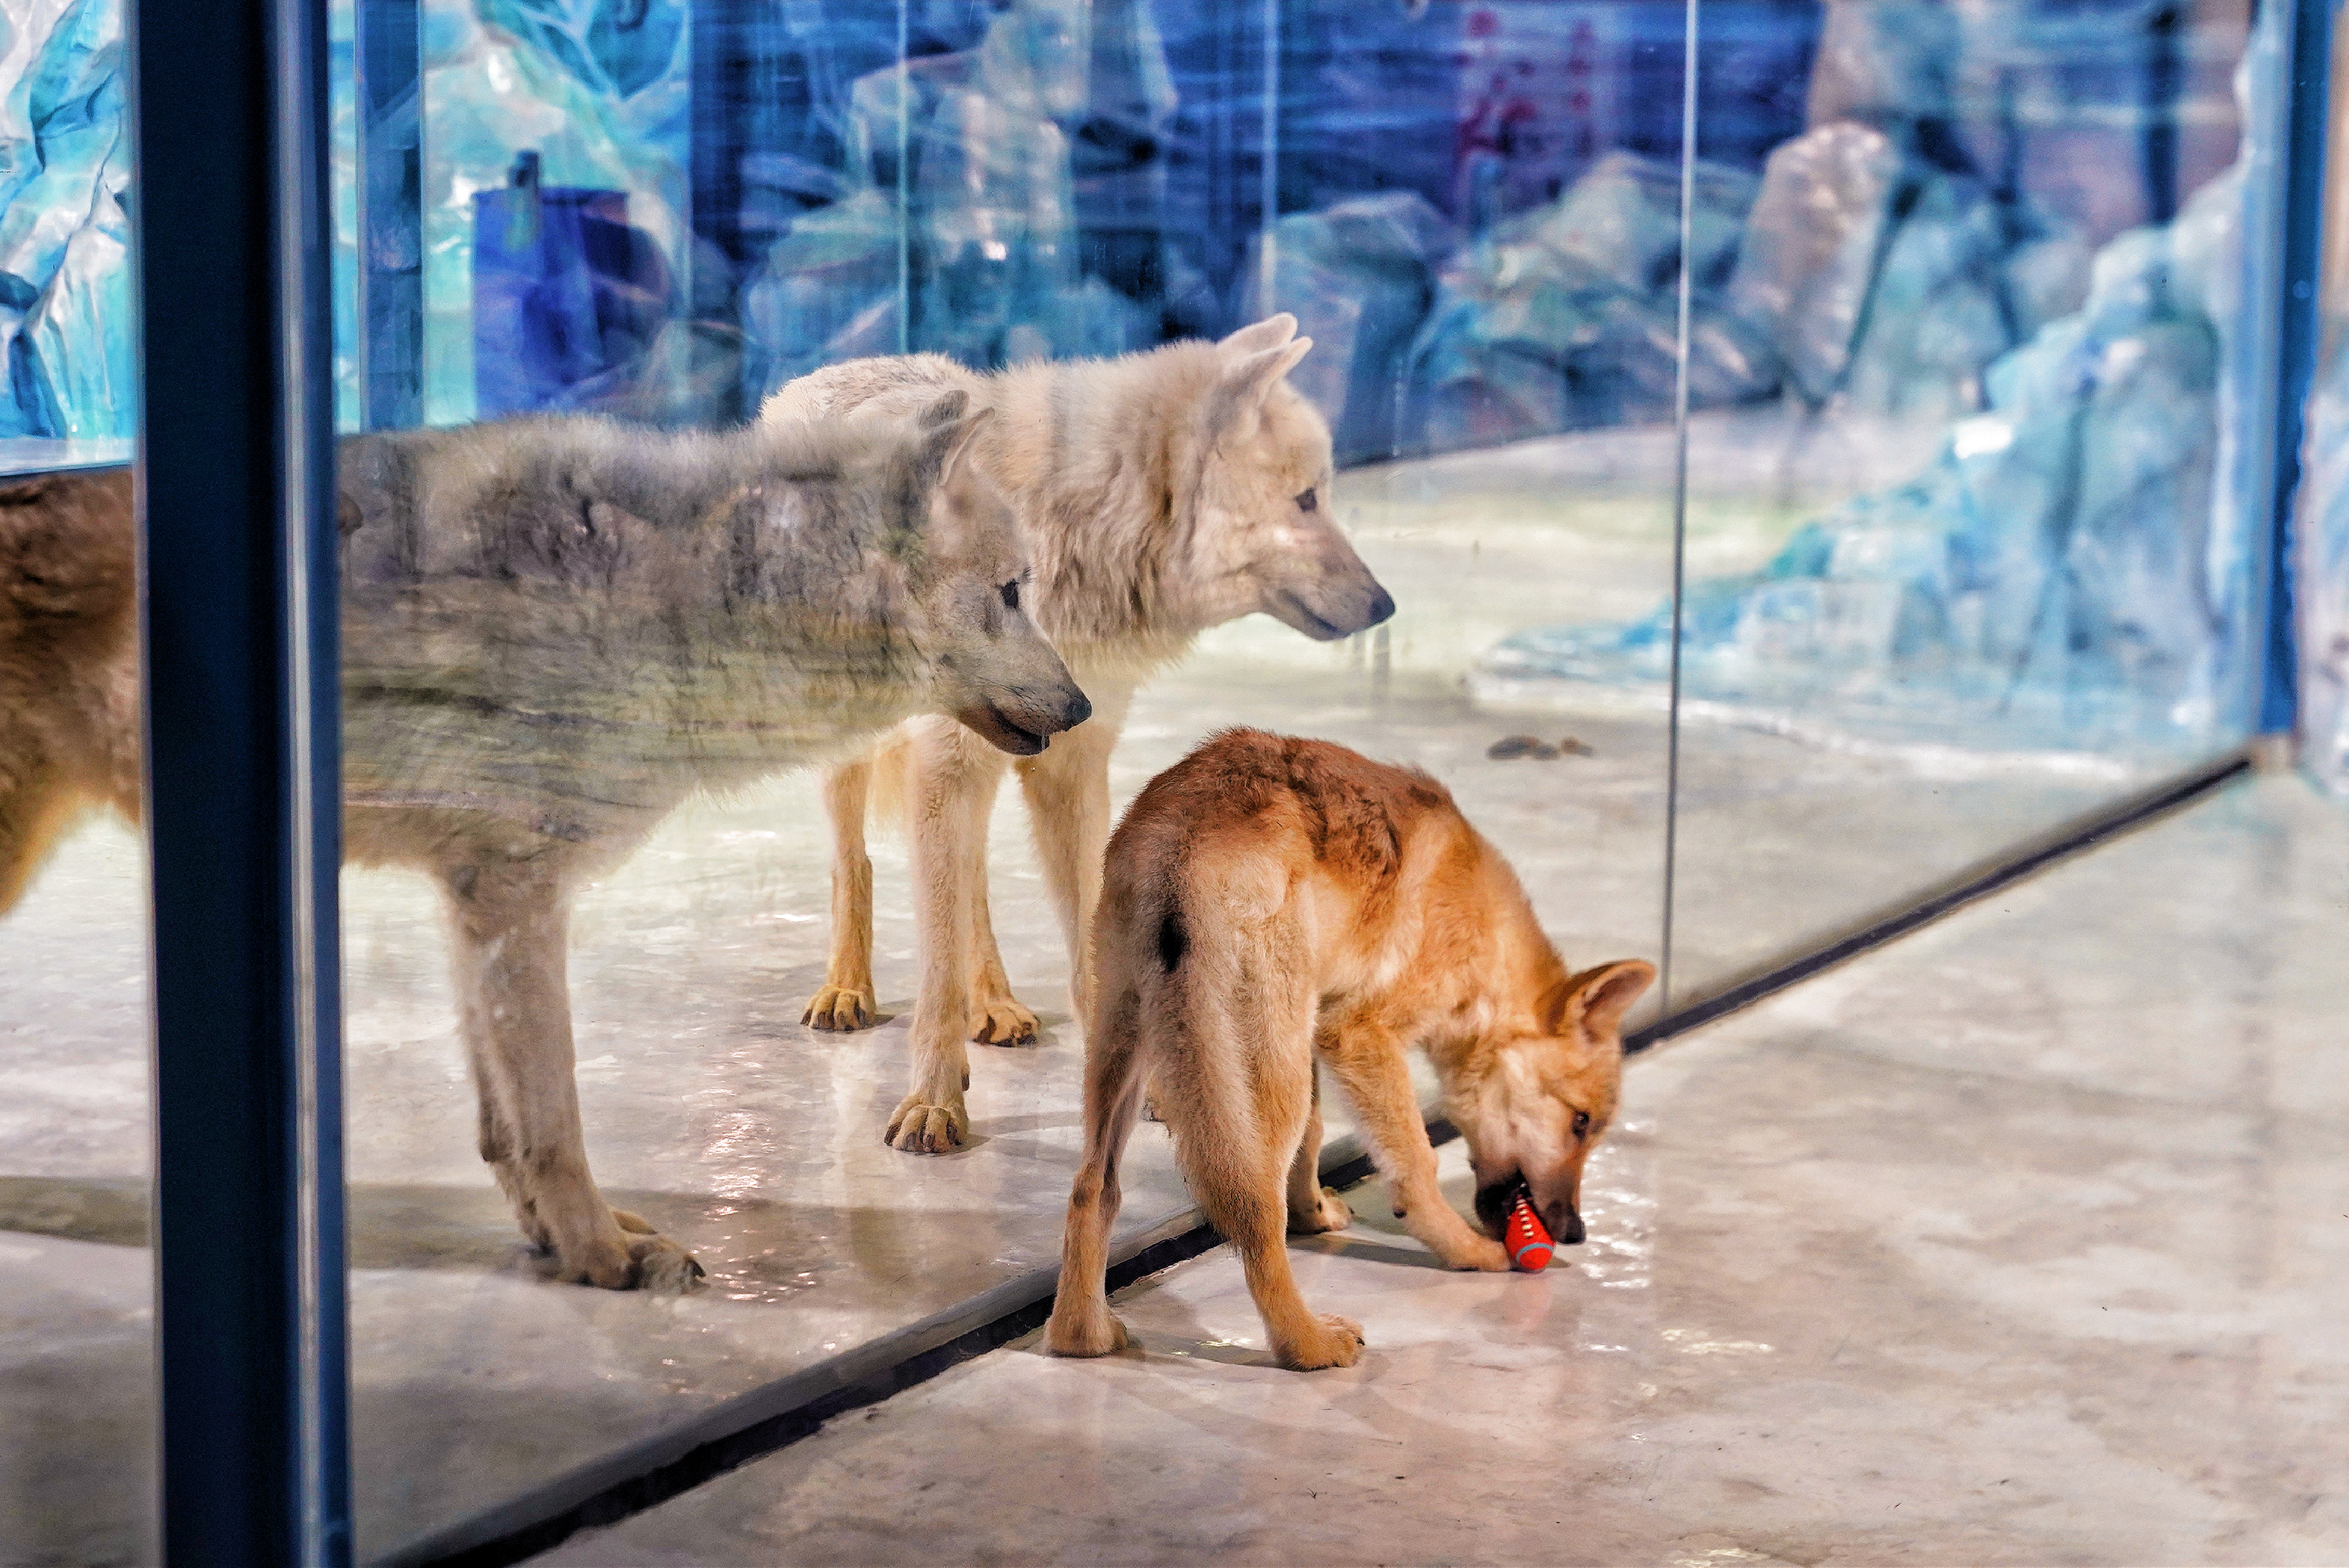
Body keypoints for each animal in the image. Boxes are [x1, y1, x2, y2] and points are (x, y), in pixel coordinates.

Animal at [0, 395, 1088, 1289]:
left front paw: (557, 1242)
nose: (1082, 707)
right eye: (1010, 591)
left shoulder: (476, 899)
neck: (680, 594)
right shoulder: (515, 896)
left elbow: (503, 1130)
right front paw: (600, 1253)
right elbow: (553, 1116)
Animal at [760, 316, 1396, 1154]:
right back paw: (845, 991)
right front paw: (934, 1101)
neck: (1080, 529)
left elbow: (1087, 946)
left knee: (973, 883)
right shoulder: (949, 767)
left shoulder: (1071, 766)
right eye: (1307, 499)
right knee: (853, 863)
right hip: (852, 745)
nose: (1387, 604)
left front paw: (1142, 1086)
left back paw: (994, 1003)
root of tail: (828, 372)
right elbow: (932, 964)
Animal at [1044, 730, 1653, 1370]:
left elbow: (1314, 1142)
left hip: (1131, 1056)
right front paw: (1465, 1251)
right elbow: (1416, 1163)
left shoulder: (1316, 1032)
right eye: (1581, 1123)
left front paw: (1314, 1214)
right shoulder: (1361, 1037)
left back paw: (1082, 1337)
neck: (1484, 938)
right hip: (1262, 1083)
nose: (1575, 1233)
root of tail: (1184, 834)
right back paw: (1307, 1346)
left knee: (1093, 1190)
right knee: (1255, 1213)